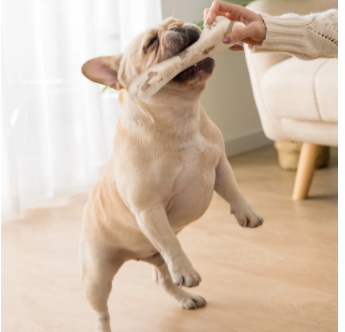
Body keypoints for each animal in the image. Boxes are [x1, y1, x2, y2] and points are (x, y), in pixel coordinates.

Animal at [80, 17, 262, 332]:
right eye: (151, 43)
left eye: (176, 22)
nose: (179, 27)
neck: (180, 119)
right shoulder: (149, 209)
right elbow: (170, 241)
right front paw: (187, 271)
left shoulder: (220, 164)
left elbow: (234, 189)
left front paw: (246, 213)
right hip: (98, 276)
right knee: (101, 310)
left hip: (154, 259)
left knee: (162, 279)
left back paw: (186, 298)